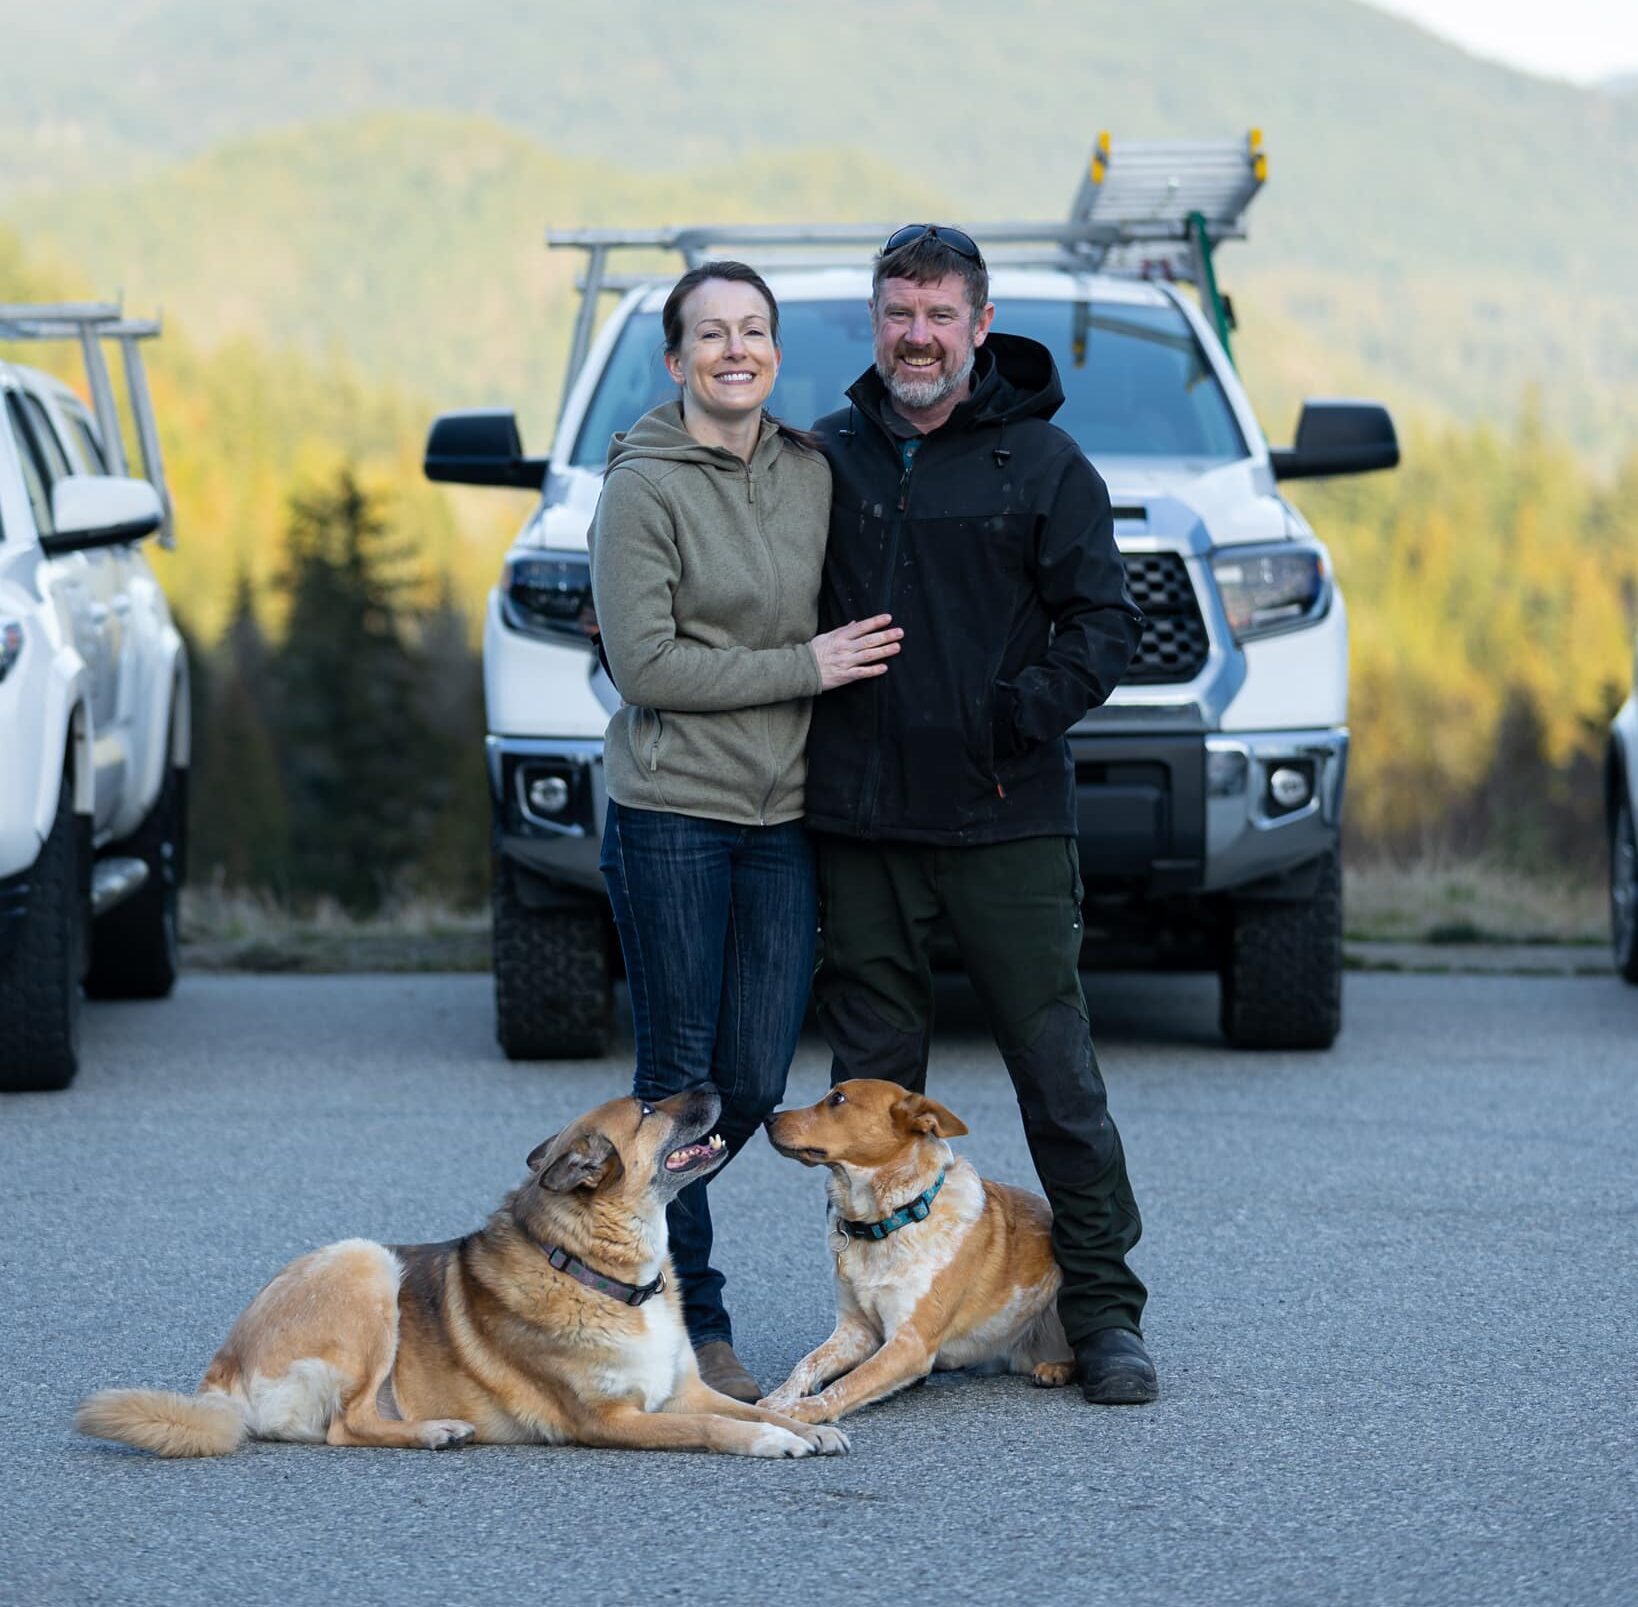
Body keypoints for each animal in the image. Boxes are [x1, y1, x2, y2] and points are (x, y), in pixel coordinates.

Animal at [75, 1094, 845, 1454]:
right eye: (650, 1107)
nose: (715, 1084)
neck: (596, 1270)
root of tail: (223, 1369)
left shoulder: (682, 1389)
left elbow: (750, 1405)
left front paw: (806, 1423)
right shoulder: (614, 1420)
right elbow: (718, 1427)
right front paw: (776, 1440)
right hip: (366, 1263)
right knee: (347, 1426)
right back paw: (432, 1431)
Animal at [763, 1081, 1081, 1415]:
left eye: (838, 1098)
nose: (768, 1118)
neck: (889, 1221)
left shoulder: (909, 1342)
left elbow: (845, 1385)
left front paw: (802, 1410)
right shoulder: (856, 1329)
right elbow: (807, 1364)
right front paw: (777, 1399)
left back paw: (1056, 1369)